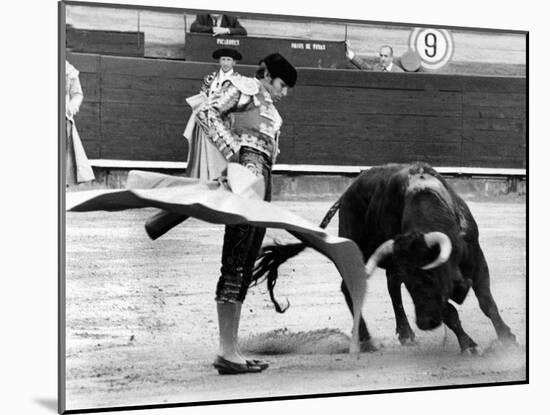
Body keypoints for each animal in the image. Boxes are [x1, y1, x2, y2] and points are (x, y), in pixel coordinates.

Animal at [254, 162, 516, 354]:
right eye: (415, 283)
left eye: (428, 275)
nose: (425, 323)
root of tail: (347, 193)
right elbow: (450, 311)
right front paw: (469, 345)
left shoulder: (476, 258)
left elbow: (486, 302)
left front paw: (507, 337)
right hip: (355, 249)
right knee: (351, 287)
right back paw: (367, 339)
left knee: (391, 287)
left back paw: (406, 334)